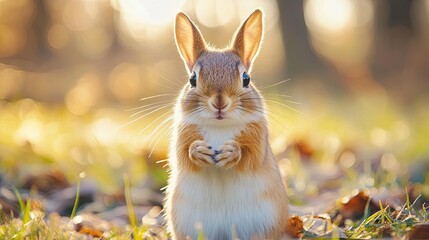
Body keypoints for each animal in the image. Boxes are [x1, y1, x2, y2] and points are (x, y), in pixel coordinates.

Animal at [163, 9, 288, 240]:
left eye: (246, 78)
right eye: (192, 79)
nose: (219, 102)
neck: (219, 126)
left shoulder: (257, 139)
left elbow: (250, 156)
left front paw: (231, 152)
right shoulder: (182, 136)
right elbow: (184, 154)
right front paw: (200, 151)